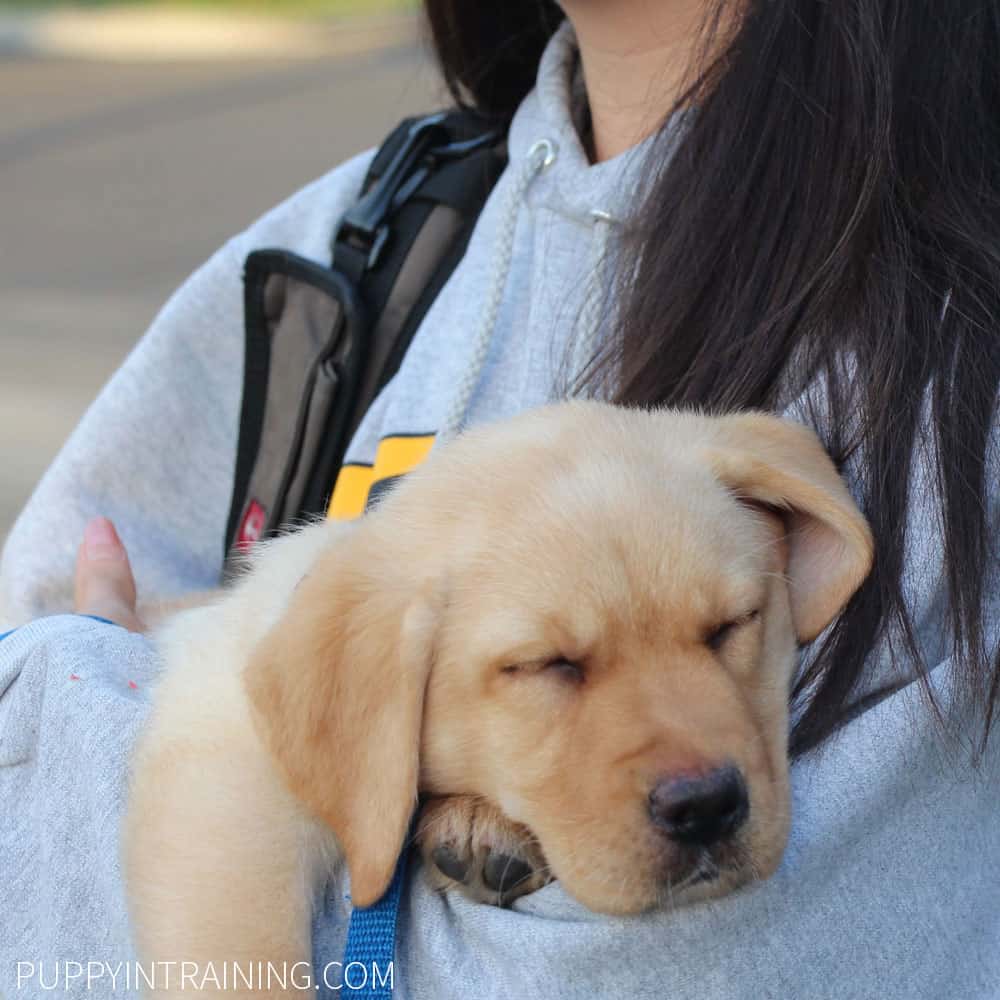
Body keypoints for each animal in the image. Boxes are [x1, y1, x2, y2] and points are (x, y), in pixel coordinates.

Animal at [125, 402, 872, 996]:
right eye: (546, 666)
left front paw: (479, 824)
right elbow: (240, 951)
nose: (707, 806)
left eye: (732, 625)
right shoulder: (226, 772)